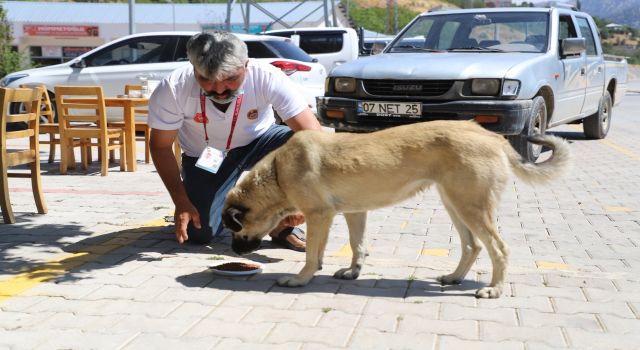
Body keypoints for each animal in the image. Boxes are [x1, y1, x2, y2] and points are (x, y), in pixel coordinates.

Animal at [221, 119, 568, 298]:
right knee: (472, 246)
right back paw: (454, 277)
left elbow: (311, 255)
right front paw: (353, 271)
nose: (235, 253)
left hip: (471, 207)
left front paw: (300, 279)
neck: (278, 171)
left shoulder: (319, 216)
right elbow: (357, 245)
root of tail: (494, 137)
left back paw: (494, 289)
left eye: (234, 228)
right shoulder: (354, 213)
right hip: (455, 204)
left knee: (499, 248)